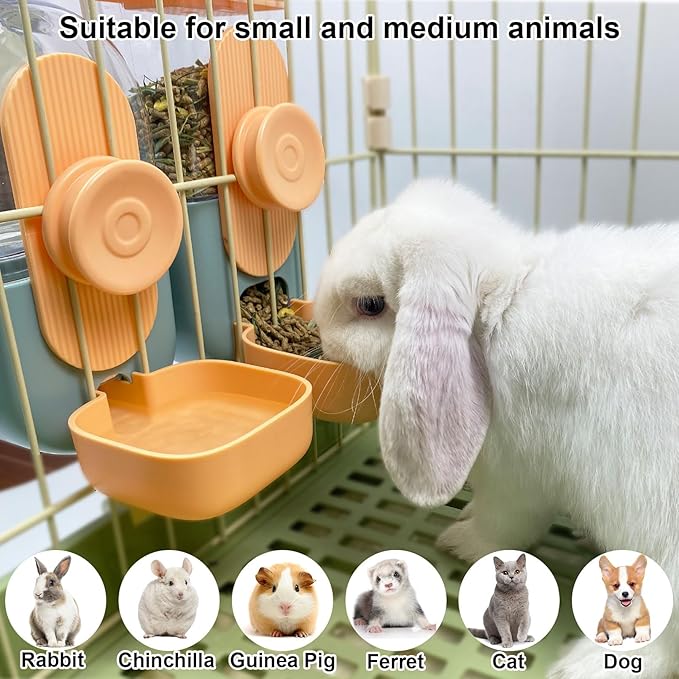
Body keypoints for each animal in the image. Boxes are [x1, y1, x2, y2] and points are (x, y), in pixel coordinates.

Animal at [315, 178, 679, 679]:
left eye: (369, 305)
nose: (320, 331)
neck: (502, 303)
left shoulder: (517, 476)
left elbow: (503, 525)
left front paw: (460, 541)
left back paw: (585, 663)